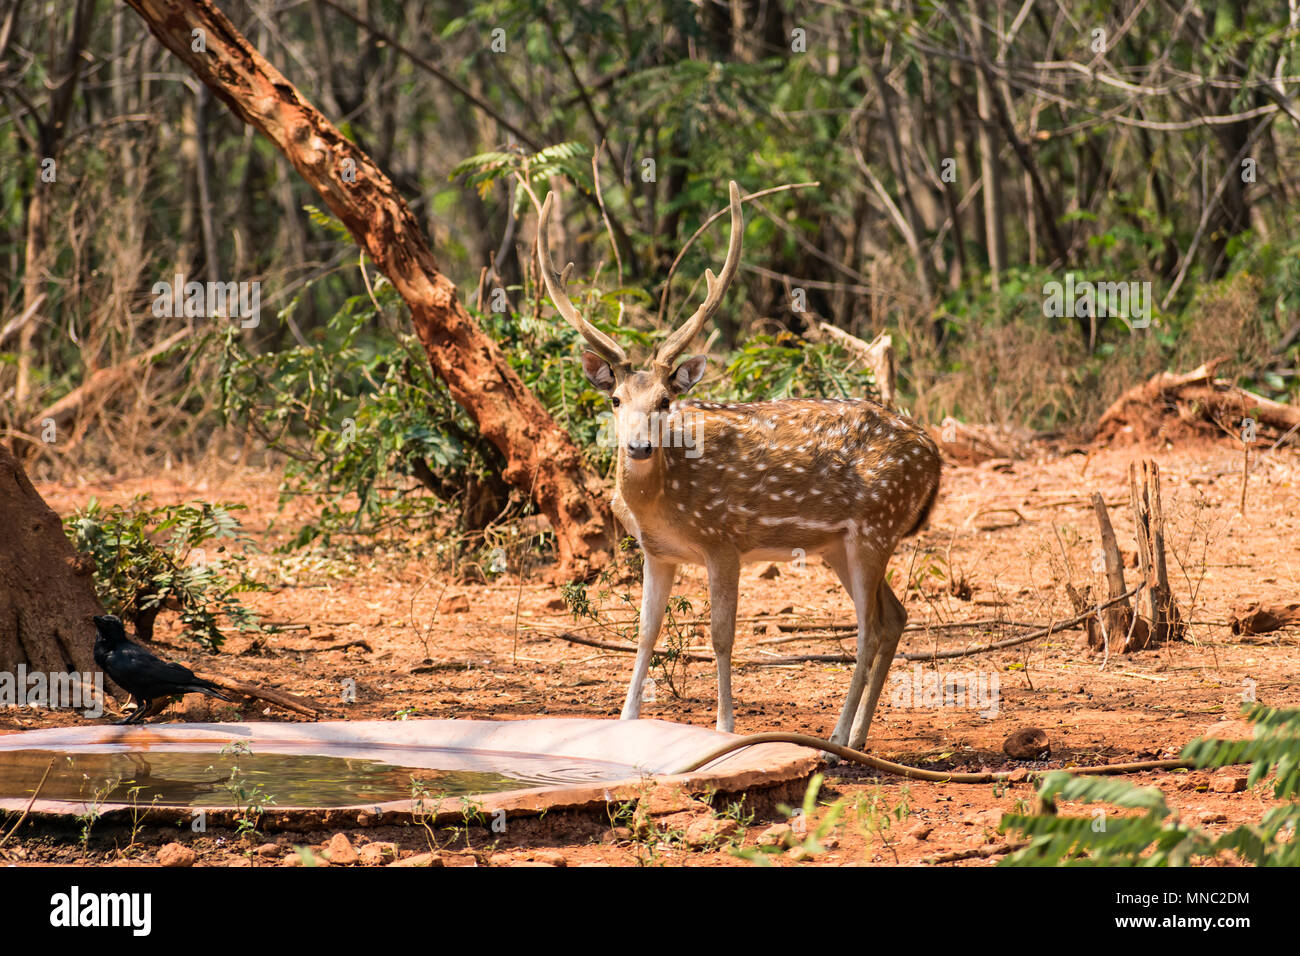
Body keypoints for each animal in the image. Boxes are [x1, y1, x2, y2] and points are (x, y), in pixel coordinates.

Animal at [533, 178, 941, 749]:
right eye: (614, 399)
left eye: (665, 400)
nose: (638, 447)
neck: (665, 501)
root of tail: (934, 454)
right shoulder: (657, 553)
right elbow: (645, 633)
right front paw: (626, 721)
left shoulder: (723, 540)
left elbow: (721, 636)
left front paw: (725, 729)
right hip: (839, 545)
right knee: (897, 616)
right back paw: (858, 736)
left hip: (875, 525)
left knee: (870, 627)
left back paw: (838, 737)